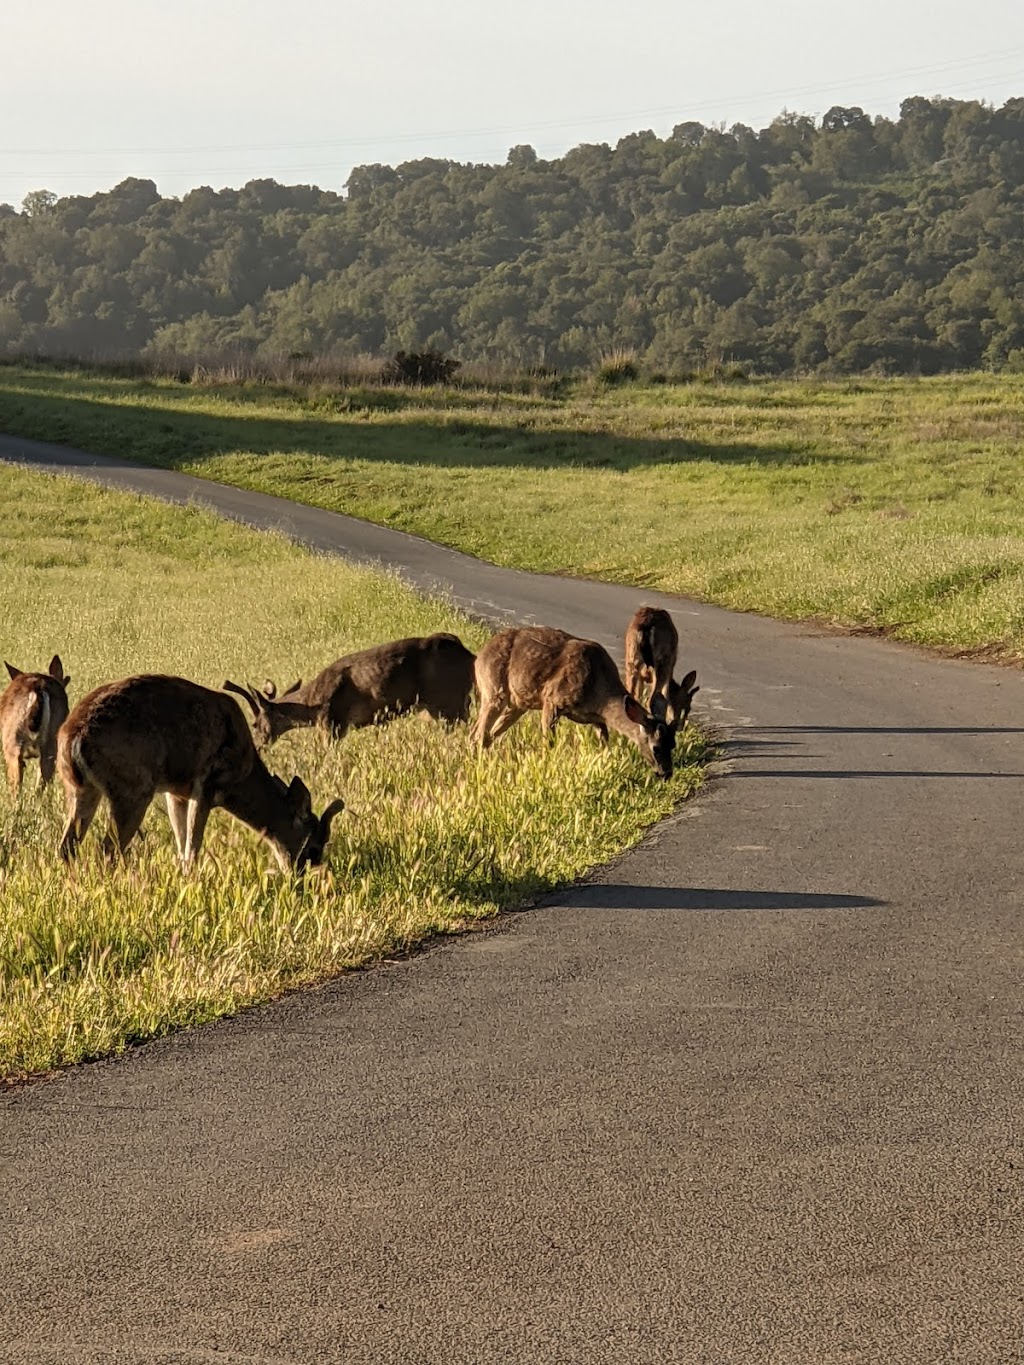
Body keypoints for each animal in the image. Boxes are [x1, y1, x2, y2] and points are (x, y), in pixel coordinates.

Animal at [55, 674, 345, 873]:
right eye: (313, 847)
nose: (301, 876)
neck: (244, 773)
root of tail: (74, 736)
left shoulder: (176, 792)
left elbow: (182, 844)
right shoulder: (207, 784)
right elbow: (192, 848)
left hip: (80, 788)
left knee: (67, 847)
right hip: (133, 788)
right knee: (107, 850)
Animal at [226, 633, 475, 753]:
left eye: (254, 724)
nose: (258, 746)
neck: (311, 704)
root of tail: (470, 655)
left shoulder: (332, 723)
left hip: (450, 700)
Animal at [472, 625, 682, 780]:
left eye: (673, 744)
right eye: (656, 747)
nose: (666, 773)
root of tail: (479, 658)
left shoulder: (596, 719)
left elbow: (605, 742)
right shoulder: (552, 699)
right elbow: (549, 743)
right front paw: (547, 767)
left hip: (517, 704)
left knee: (484, 734)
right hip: (494, 690)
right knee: (479, 734)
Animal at [622, 606, 704, 737]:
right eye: (687, 706)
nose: (681, 728)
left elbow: (638, 696)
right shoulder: (669, 669)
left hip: (631, 659)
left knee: (629, 694)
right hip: (662, 664)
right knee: (654, 700)